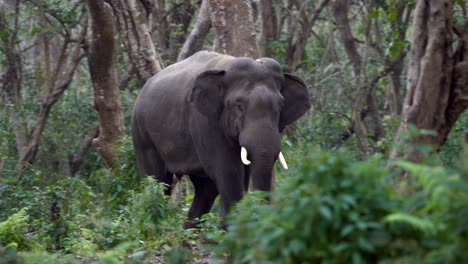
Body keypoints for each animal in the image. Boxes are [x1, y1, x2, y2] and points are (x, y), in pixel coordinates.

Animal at [132, 50, 310, 228]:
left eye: (280, 107)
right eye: (239, 106)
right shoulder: (205, 123)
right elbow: (228, 170)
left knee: (206, 190)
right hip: (142, 134)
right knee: (157, 181)